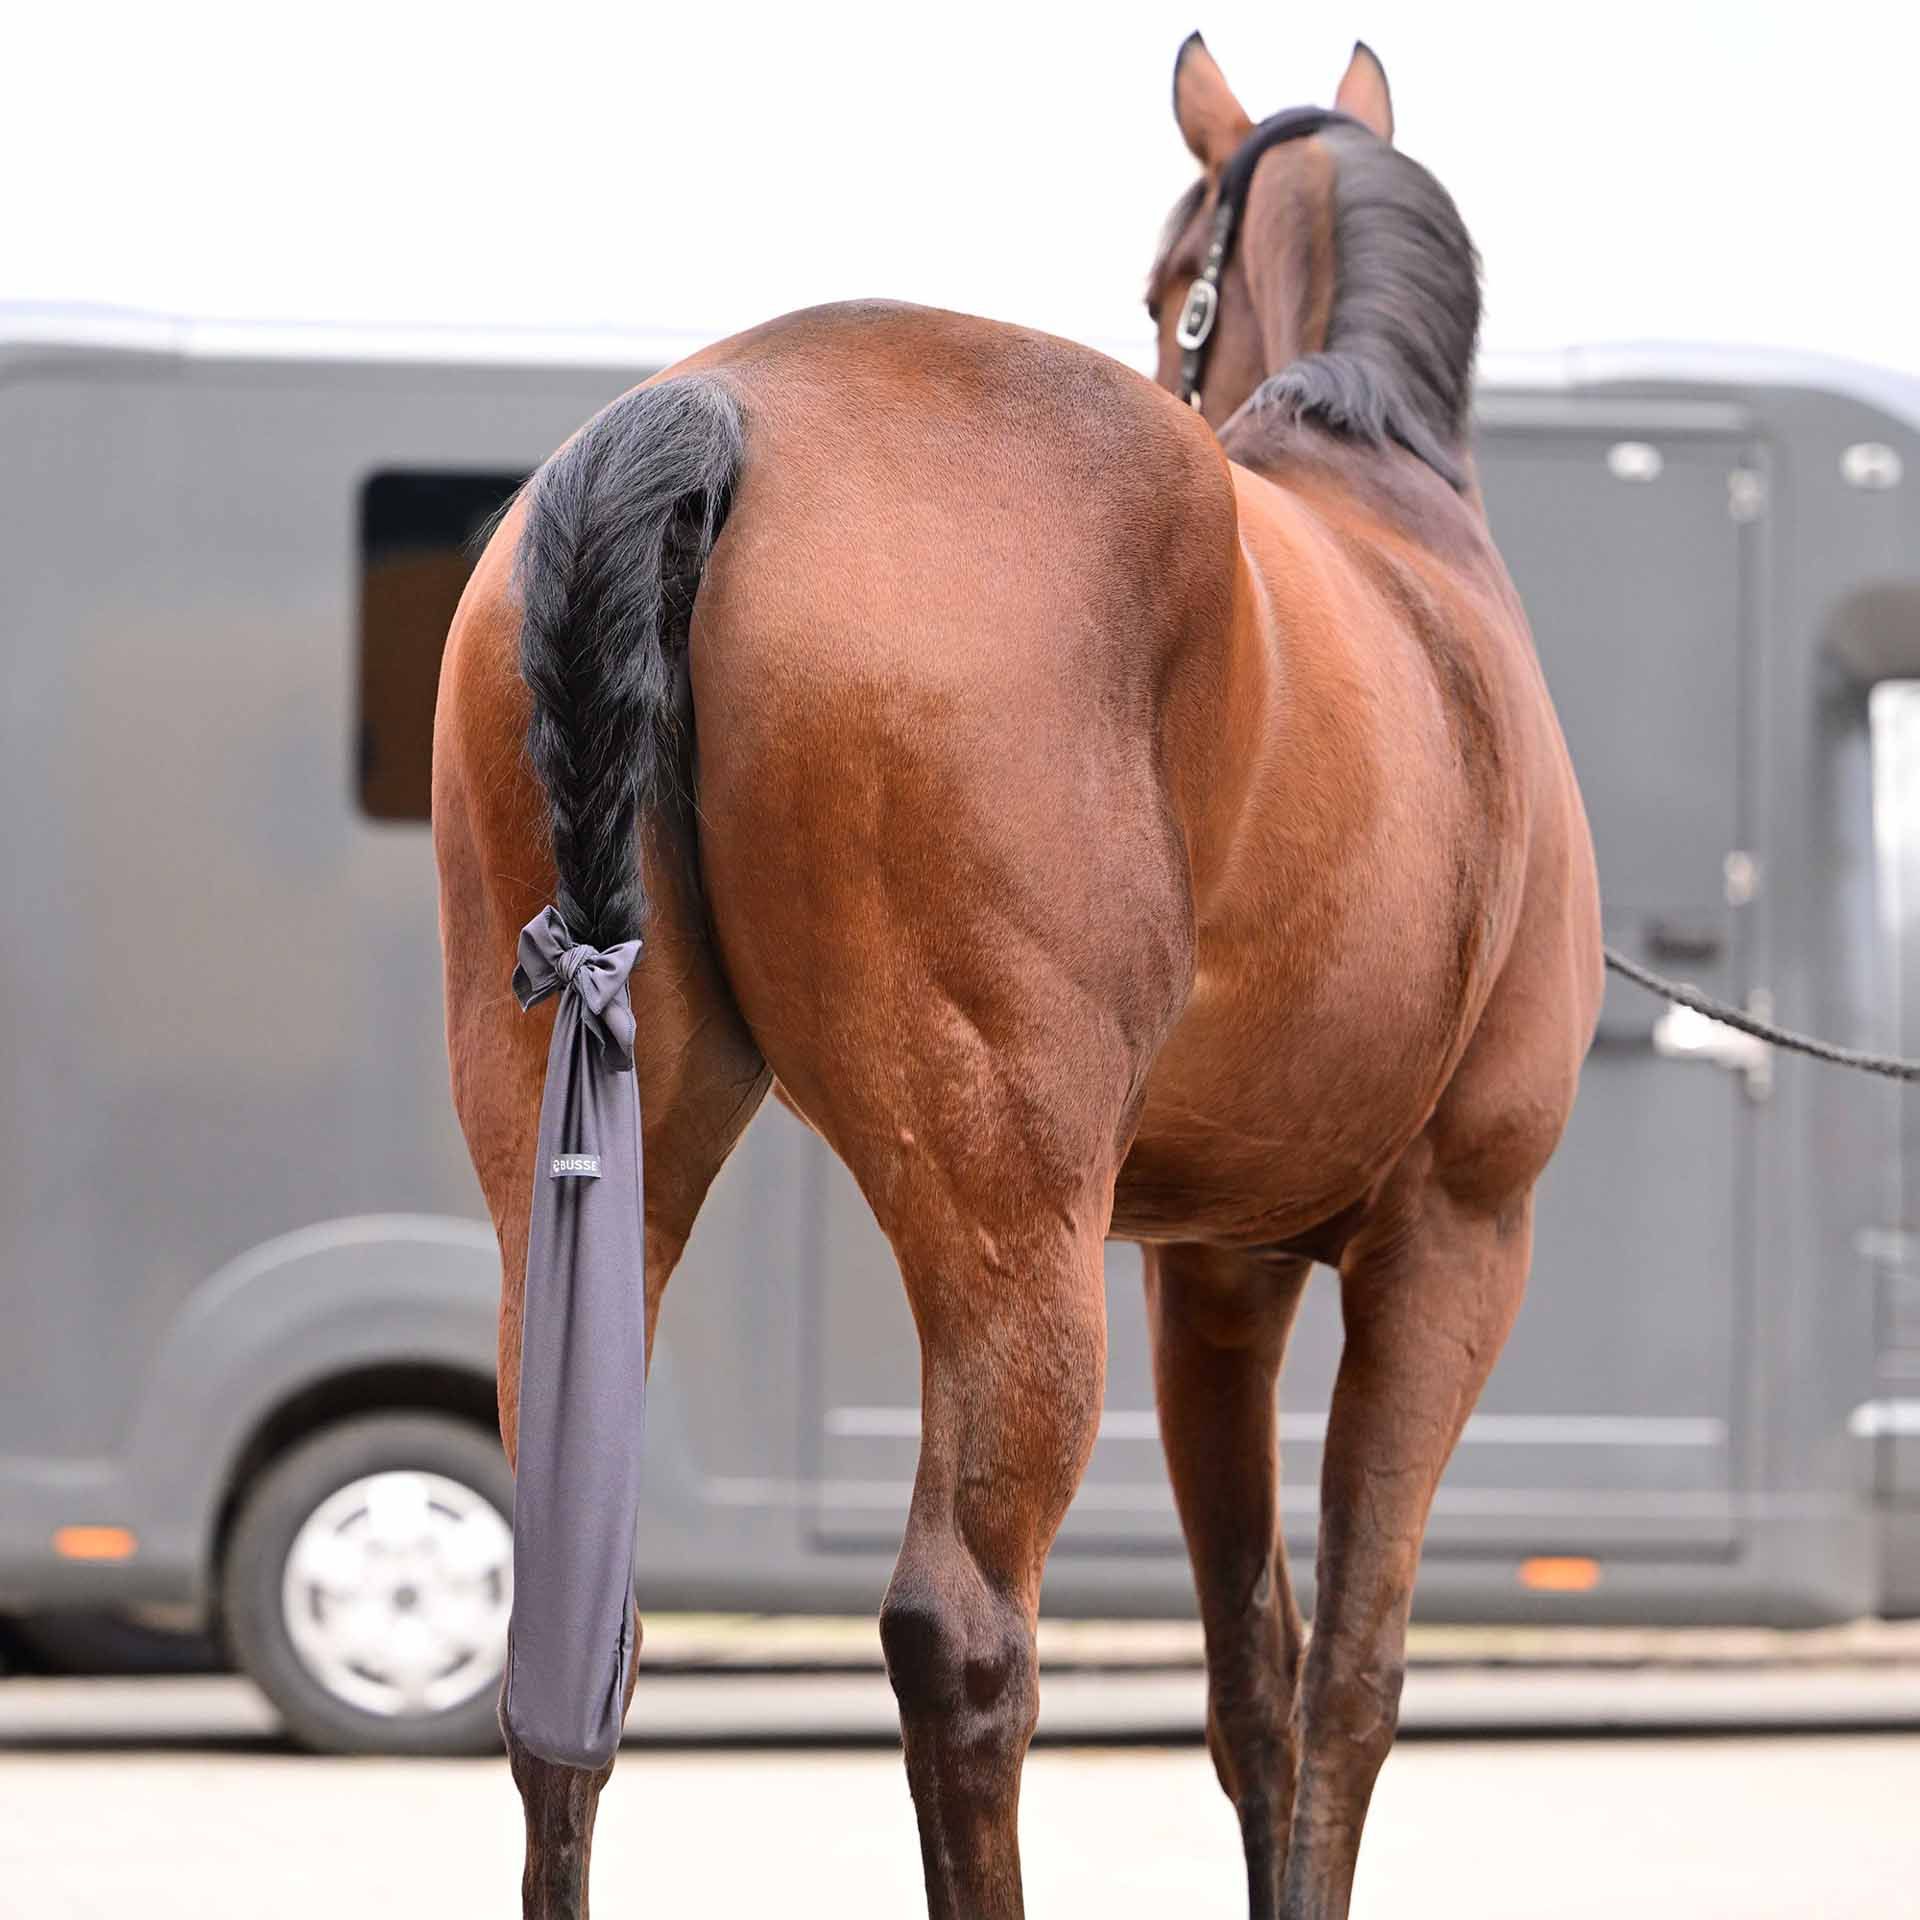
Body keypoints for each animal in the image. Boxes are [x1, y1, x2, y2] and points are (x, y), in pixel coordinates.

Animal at [431, 31, 1602, 1919]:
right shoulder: (1451, 1240)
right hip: (1008, 1219)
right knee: (962, 1633)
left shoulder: (1214, 1275)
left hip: (587, 1176)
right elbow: (1350, 1680)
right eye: (1167, 279)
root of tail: (720, 406)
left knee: (569, 1642)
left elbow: (1256, 1677)